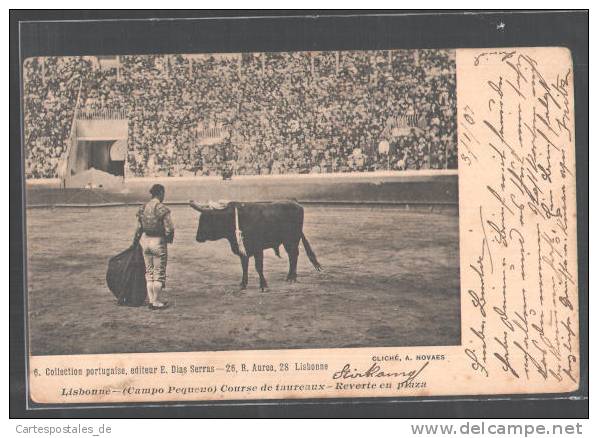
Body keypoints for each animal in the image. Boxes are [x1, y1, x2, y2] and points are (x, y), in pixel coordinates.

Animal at [191, 201, 324, 290]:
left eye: (206, 219)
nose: (197, 238)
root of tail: (297, 205)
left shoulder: (258, 249)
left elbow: (258, 267)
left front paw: (263, 285)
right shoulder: (243, 251)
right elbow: (244, 267)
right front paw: (243, 284)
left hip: (292, 240)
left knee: (294, 256)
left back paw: (292, 278)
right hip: (288, 241)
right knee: (292, 256)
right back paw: (289, 277)